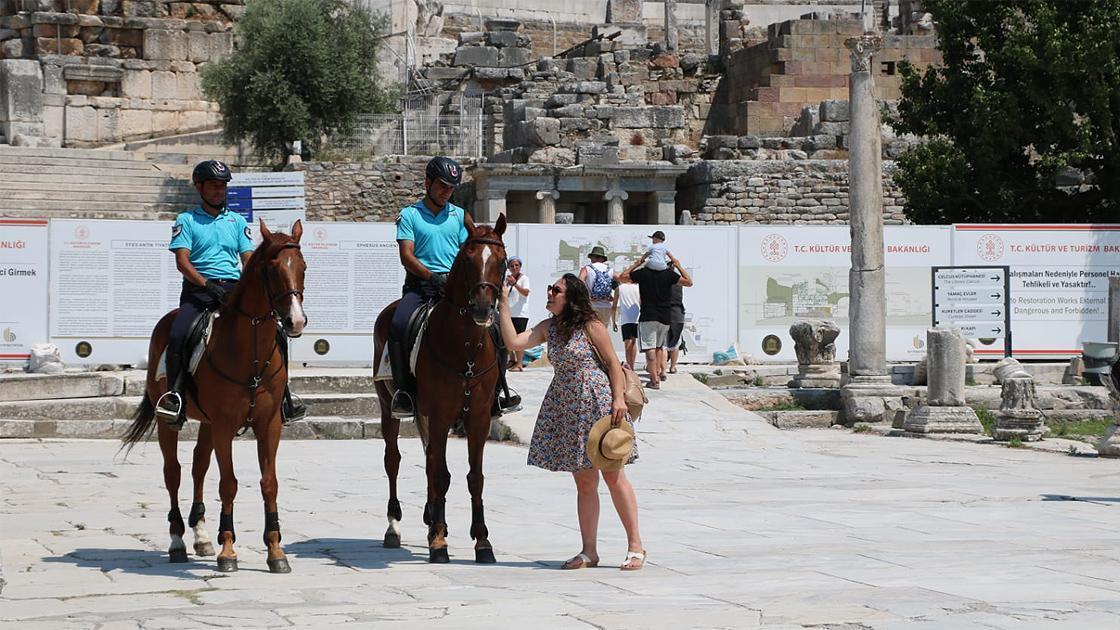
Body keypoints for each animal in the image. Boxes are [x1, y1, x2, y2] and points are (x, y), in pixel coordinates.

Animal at [119, 219, 306, 573]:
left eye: (303, 267)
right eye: (272, 269)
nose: (296, 321)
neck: (250, 352)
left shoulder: (269, 424)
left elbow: (269, 482)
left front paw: (275, 551)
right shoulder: (224, 425)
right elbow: (228, 483)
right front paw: (228, 551)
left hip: (207, 423)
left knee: (198, 467)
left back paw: (202, 536)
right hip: (170, 423)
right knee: (173, 473)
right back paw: (178, 542)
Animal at [374, 212, 510, 560]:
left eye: (502, 261)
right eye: (468, 258)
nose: (482, 309)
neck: (466, 346)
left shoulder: (478, 417)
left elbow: (473, 477)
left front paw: (482, 541)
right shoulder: (439, 415)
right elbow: (440, 474)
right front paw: (438, 542)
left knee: (430, 460)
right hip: (389, 407)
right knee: (394, 460)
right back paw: (394, 526)